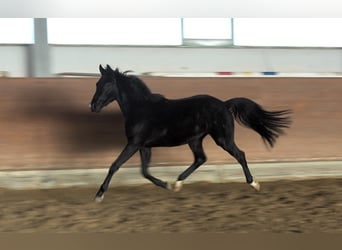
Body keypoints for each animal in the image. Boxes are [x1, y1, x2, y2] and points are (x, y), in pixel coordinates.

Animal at [89, 64, 292, 201]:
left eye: (107, 84)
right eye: (97, 83)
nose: (93, 106)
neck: (140, 109)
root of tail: (224, 104)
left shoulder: (133, 143)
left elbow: (115, 165)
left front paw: (99, 194)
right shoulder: (144, 146)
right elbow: (144, 171)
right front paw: (167, 185)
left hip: (222, 138)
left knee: (239, 154)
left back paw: (254, 183)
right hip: (195, 139)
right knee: (200, 158)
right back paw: (178, 183)